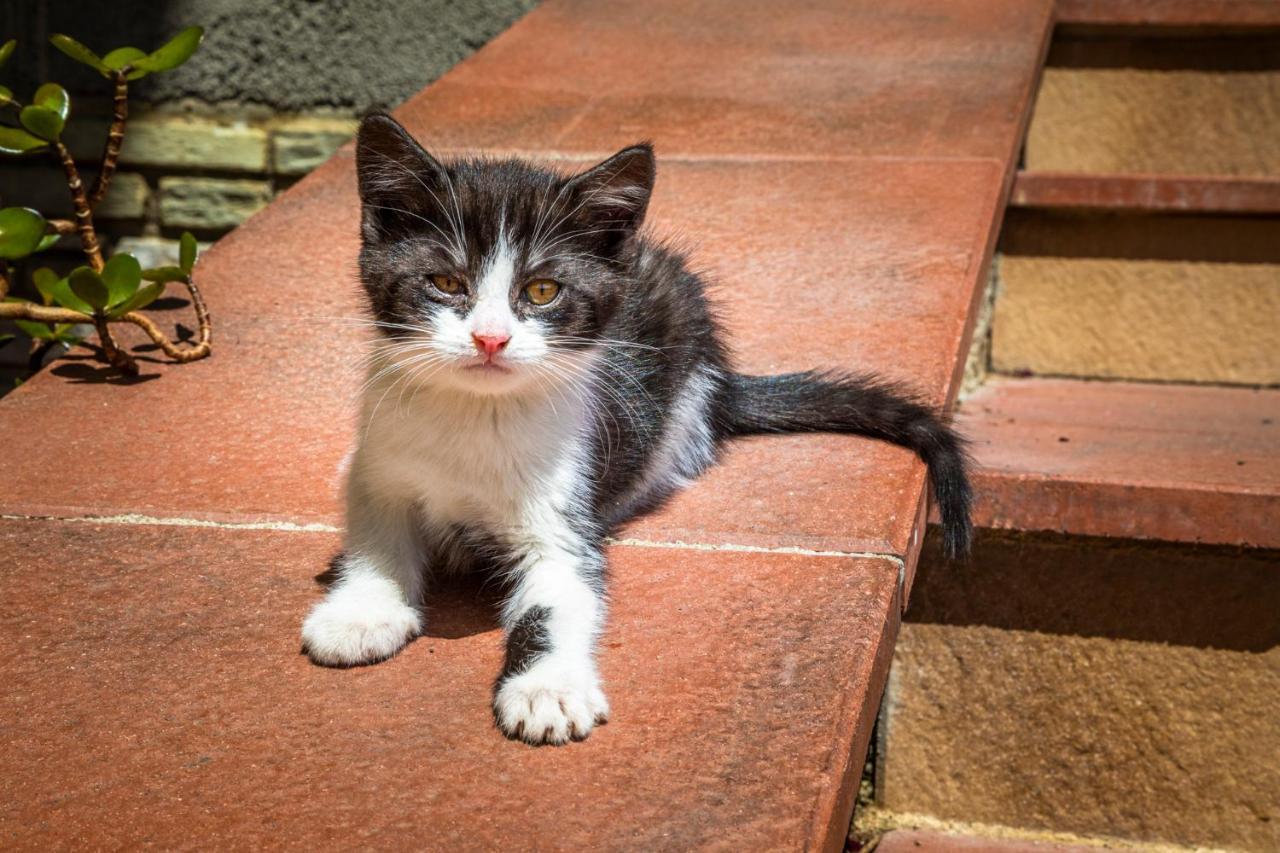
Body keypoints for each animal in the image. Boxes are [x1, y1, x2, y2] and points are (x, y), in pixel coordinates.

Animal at [299, 114, 967, 742]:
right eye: (444, 282)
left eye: (542, 290)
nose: (491, 339)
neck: (474, 413)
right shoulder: (379, 462)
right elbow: (377, 533)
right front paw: (361, 611)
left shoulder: (568, 512)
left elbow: (560, 598)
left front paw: (548, 689)